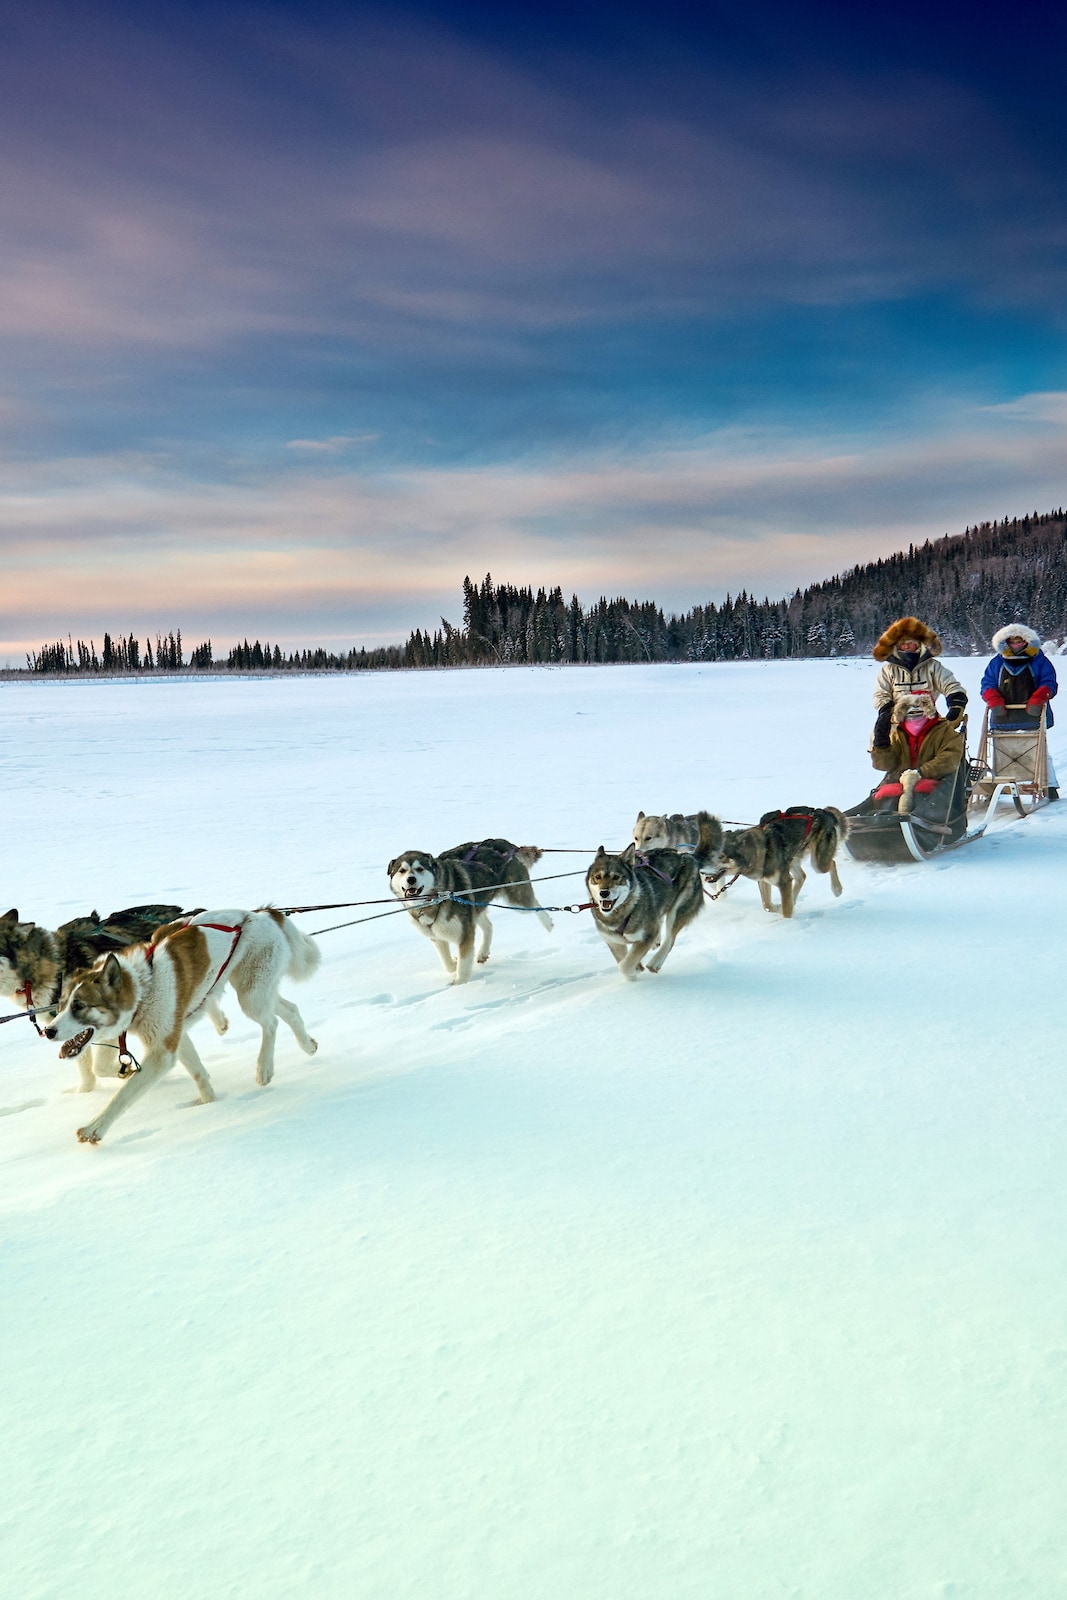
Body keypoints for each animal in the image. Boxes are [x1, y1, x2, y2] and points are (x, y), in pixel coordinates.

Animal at [43, 908, 319, 1145]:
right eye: (61, 1005)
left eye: (79, 1006)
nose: (48, 1031)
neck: (143, 987)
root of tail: (263, 913)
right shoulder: (174, 1035)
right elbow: (197, 1072)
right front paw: (209, 1102)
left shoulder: (162, 1052)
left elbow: (123, 1095)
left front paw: (95, 1128)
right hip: (256, 991)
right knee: (290, 1010)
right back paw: (308, 1045)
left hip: (252, 997)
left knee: (271, 1023)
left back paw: (264, 1068)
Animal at [391, 838, 556, 985]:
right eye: (402, 871)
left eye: (420, 869)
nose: (411, 879)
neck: (433, 900)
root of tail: (505, 844)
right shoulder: (437, 937)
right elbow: (447, 964)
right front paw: (454, 963)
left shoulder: (465, 933)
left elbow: (463, 966)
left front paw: (459, 985)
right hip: (474, 906)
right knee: (489, 925)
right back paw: (483, 952)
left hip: (516, 899)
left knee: (533, 904)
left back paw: (547, 922)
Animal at [588, 844, 703, 979]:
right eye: (597, 877)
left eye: (616, 877)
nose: (604, 893)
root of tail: (688, 855)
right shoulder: (614, 941)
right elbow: (624, 960)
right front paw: (635, 971)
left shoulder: (647, 936)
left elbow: (624, 966)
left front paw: (636, 969)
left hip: (679, 908)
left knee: (670, 938)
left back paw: (655, 962)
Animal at [716, 806, 851, 921]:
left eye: (721, 856)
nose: (707, 871)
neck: (761, 849)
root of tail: (823, 812)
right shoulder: (764, 880)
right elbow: (767, 905)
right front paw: (779, 907)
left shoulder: (783, 881)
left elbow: (785, 910)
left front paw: (787, 923)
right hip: (793, 860)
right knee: (802, 877)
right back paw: (793, 899)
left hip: (818, 864)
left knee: (832, 863)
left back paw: (837, 889)